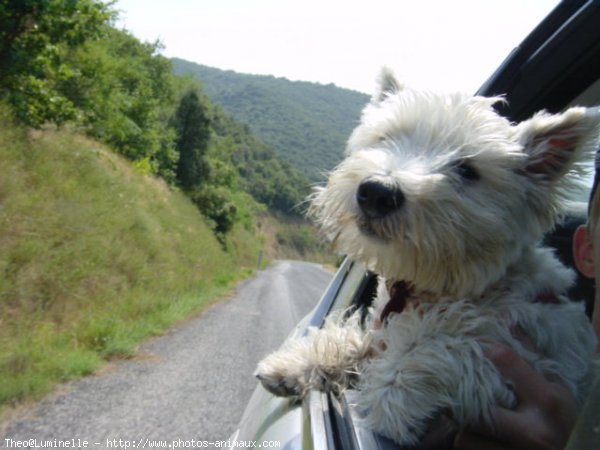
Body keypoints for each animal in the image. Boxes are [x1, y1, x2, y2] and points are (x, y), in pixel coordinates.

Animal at [254, 70, 600, 446]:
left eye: (468, 170)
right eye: (386, 137)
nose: (377, 191)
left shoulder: (531, 360)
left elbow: (441, 348)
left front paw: (389, 401)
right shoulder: (378, 334)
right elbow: (352, 342)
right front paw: (290, 365)